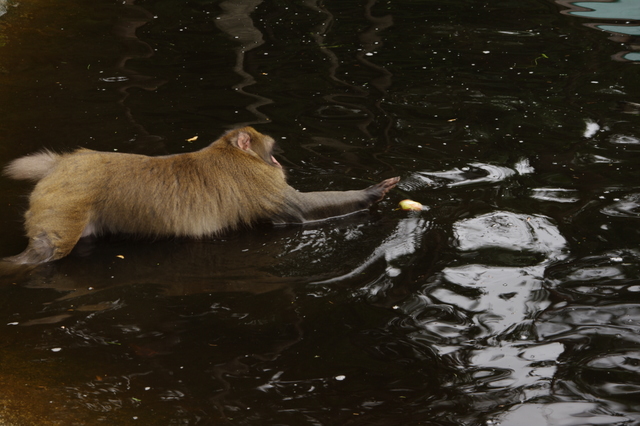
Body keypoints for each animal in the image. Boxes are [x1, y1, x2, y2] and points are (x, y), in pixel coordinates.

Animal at [2, 126, 398, 264]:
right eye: (270, 150)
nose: (278, 160)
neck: (232, 153)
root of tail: (62, 164)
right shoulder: (259, 182)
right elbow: (298, 209)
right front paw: (371, 192)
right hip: (64, 206)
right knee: (47, 251)